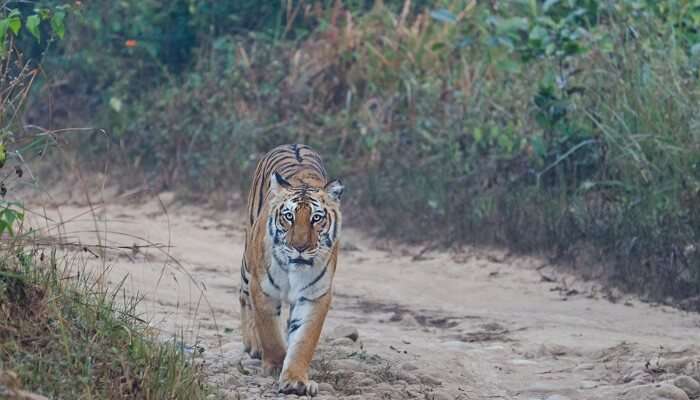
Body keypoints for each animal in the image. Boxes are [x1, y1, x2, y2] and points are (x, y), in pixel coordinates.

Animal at [239, 144, 344, 396]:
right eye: (289, 216)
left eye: (317, 218)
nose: (300, 247)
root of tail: (293, 144)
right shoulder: (263, 289)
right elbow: (270, 332)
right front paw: (276, 365)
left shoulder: (315, 296)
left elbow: (303, 340)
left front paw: (295, 380)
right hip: (247, 266)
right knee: (244, 298)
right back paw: (252, 345)